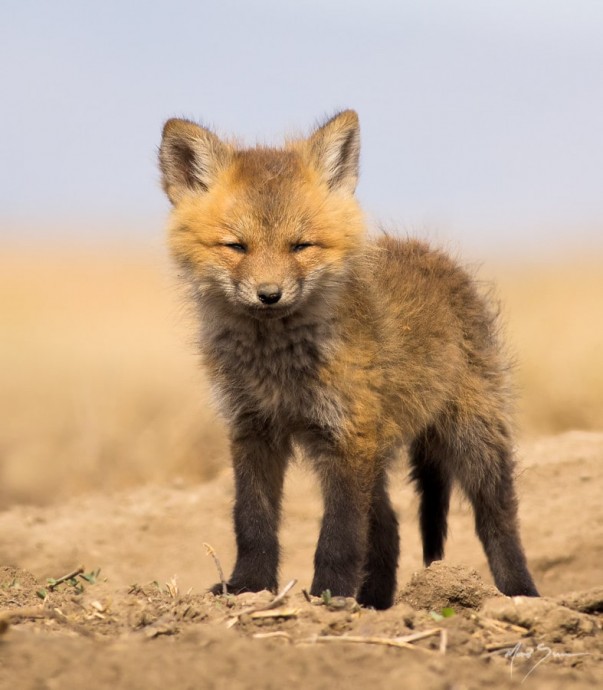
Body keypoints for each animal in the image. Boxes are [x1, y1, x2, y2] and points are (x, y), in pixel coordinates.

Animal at [158, 111, 540, 608]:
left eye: (301, 246)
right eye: (236, 247)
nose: (269, 295)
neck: (277, 368)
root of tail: (430, 252)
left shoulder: (346, 435)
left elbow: (339, 537)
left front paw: (328, 597)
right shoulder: (253, 429)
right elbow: (252, 522)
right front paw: (249, 588)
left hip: (473, 436)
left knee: (498, 517)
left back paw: (520, 594)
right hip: (379, 452)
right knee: (390, 528)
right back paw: (376, 602)